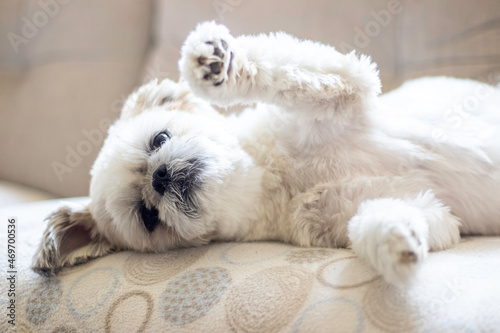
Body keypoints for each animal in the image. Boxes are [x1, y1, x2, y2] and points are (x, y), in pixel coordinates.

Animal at [32, 22, 500, 284]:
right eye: (148, 218)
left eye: (159, 140)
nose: (159, 177)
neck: (273, 175)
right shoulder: (391, 210)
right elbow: (384, 218)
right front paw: (395, 245)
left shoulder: (348, 88)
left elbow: (281, 72)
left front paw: (215, 66)